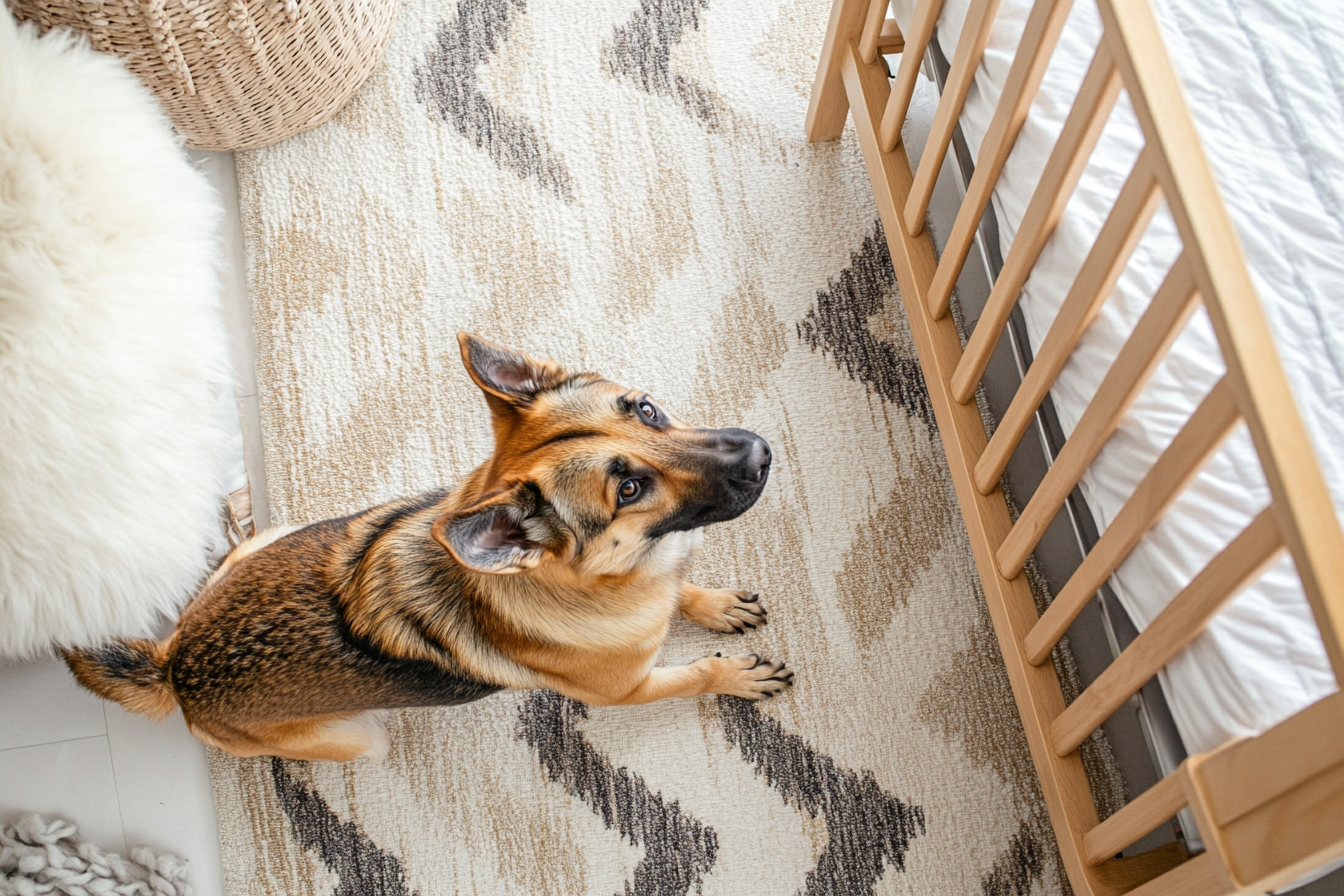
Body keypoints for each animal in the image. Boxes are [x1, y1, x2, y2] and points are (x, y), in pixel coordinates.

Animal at [68, 333, 790, 763]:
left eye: (646, 410)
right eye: (631, 488)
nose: (761, 454)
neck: (603, 578)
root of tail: (175, 668)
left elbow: (684, 589)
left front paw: (712, 605)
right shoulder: (631, 690)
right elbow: (693, 673)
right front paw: (734, 675)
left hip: (274, 538)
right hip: (362, 738)